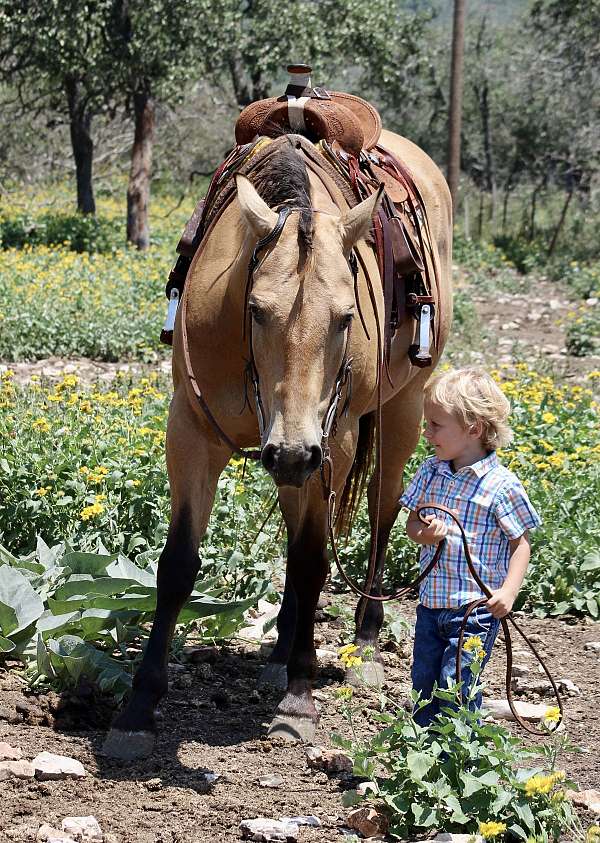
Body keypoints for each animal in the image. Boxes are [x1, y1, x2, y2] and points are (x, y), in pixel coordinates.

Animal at [104, 81, 450, 764]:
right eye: (258, 310)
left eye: (345, 317)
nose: (292, 451)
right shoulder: (192, 433)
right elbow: (178, 564)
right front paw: (137, 707)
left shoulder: (330, 442)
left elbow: (314, 560)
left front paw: (299, 699)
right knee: (297, 534)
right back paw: (282, 649)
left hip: (397, 411)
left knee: (381, 511)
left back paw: (359, 643)